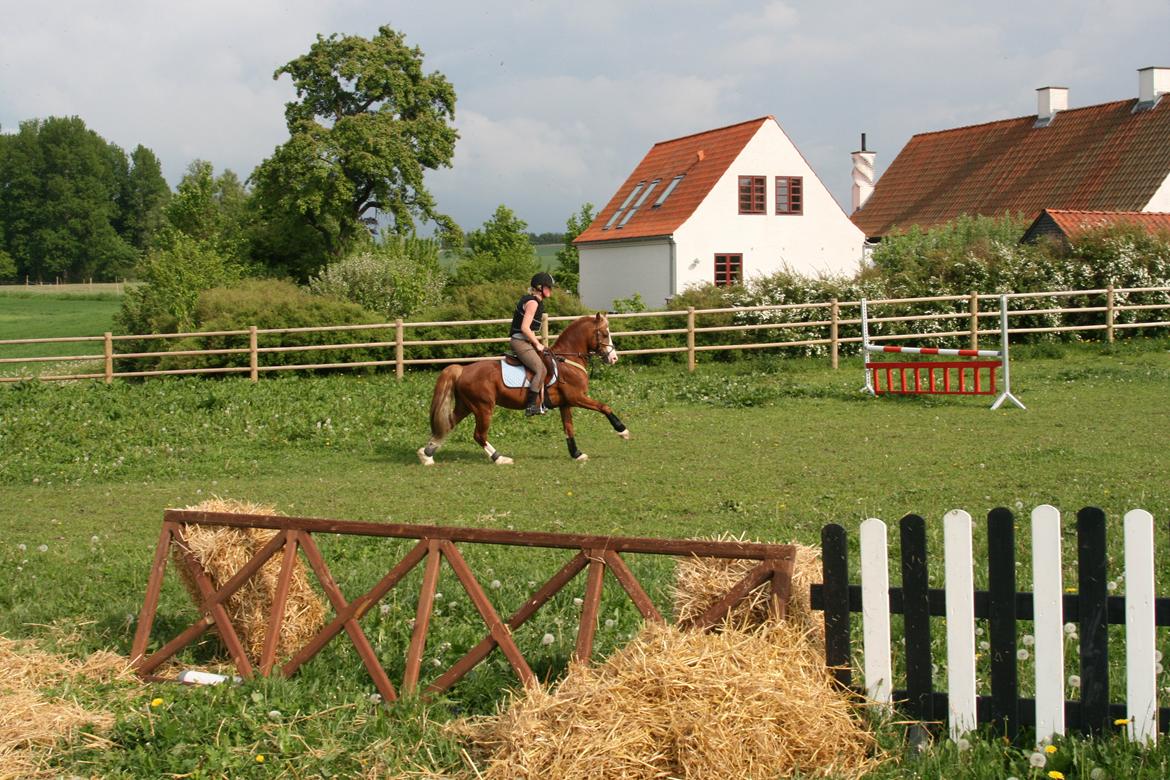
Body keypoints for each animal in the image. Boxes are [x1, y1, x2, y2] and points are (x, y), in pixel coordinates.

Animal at [418, 313, 631, 467]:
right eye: (605, 333)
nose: (614, 358)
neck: (568, 360)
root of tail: (463, 370)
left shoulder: (566, 403)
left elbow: (569, 429)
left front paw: (577, 454)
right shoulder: (577, 397)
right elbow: (604, 407)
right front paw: (623, 431)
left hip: (466, 406)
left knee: (448, 425)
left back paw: (426, 455)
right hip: (483, 407)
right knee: (479, 435)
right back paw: (500, 458)